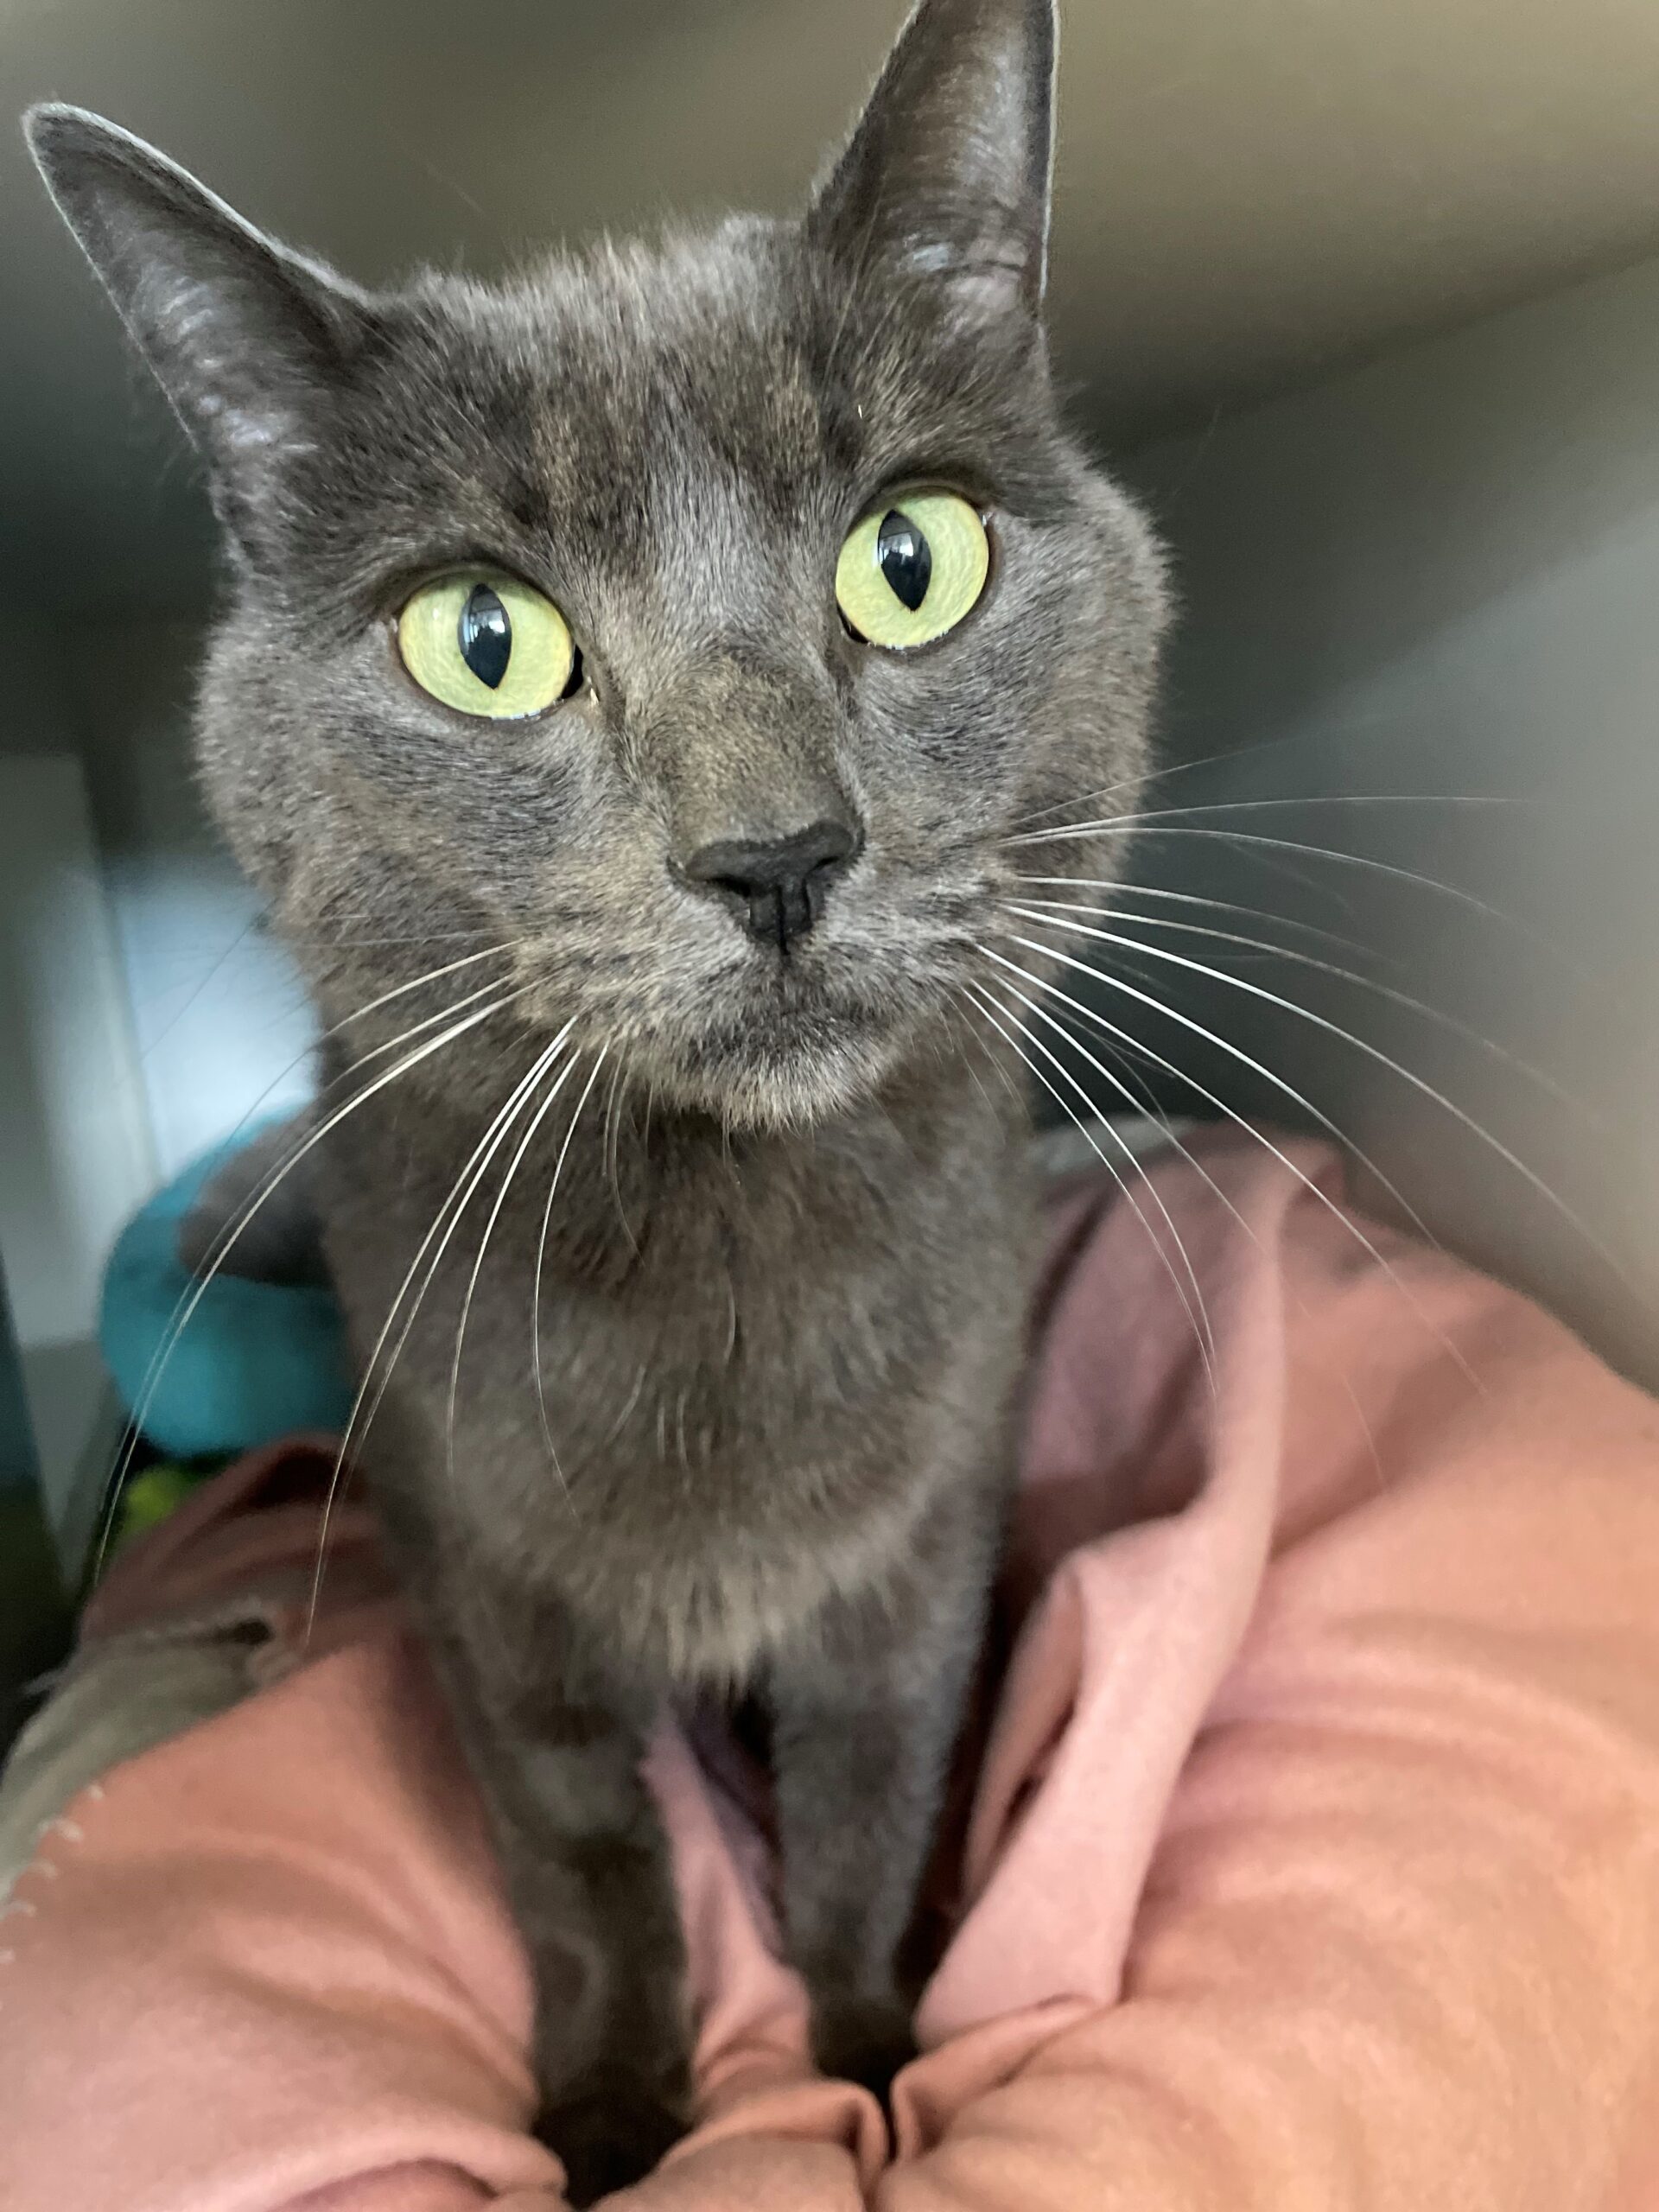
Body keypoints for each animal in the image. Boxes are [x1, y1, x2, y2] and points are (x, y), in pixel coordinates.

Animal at [27, 0, 1167, 2197]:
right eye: (483, 640)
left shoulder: (924, 1532)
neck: (721, 1246)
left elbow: (869, 1805)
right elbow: (579, 1848)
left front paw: (874, 2066)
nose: (776, 852)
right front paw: (619, 2116)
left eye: (911, 560)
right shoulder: (472, 1552)